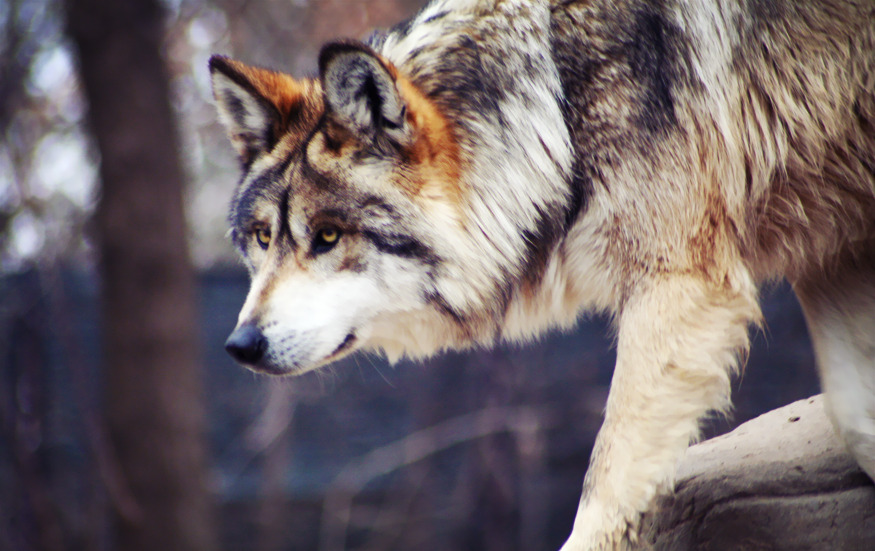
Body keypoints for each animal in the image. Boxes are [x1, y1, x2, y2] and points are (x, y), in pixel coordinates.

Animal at [210, 1, 875, 548]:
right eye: (264, 238)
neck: (558, 112)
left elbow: (603, 485)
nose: (240, 345)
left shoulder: (680, 287)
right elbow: (854, 414)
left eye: (327, 237)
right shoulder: (830, 251)